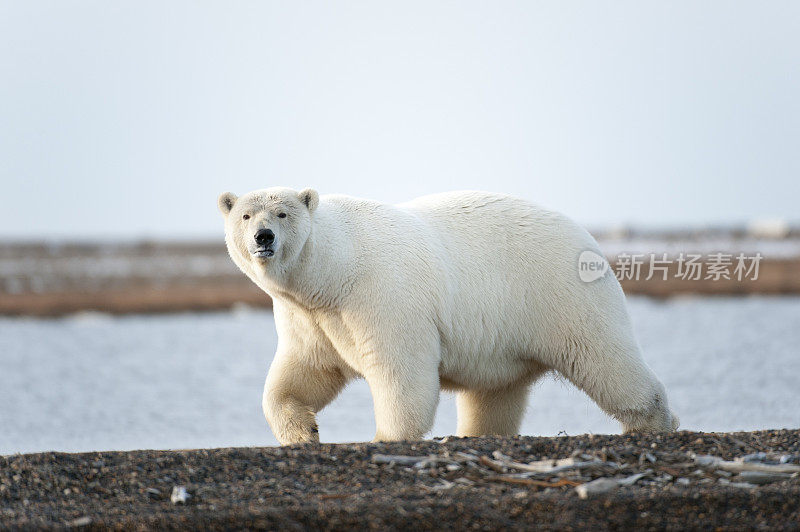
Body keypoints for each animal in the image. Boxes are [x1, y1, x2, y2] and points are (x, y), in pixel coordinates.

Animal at [216, 187, 680, 444]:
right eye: (245, 214)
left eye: (282, 213)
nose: (263, 237)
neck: (334, 269)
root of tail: (590, 239)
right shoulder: (311, 316)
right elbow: (302, 373)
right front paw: (303, 433)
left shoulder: (379, 296)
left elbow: (400, 370)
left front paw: (383, 436)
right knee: (494, 396)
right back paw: (475, 432)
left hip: (560, 294)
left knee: (605, 358)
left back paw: (653, 422)